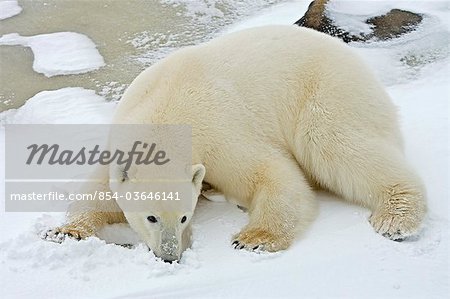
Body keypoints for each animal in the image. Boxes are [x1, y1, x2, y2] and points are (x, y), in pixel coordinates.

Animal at [44, 25, 428, 262]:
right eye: (151, 217)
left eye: (184, 218)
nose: (170, 255)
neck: (165, 110)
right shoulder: (122, 139)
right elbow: (99, 192)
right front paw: (64, 232)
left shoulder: (220, 132)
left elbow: (272, 174)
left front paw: (253, 238)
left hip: (327, 92)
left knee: (336, 146)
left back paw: (395, 218)